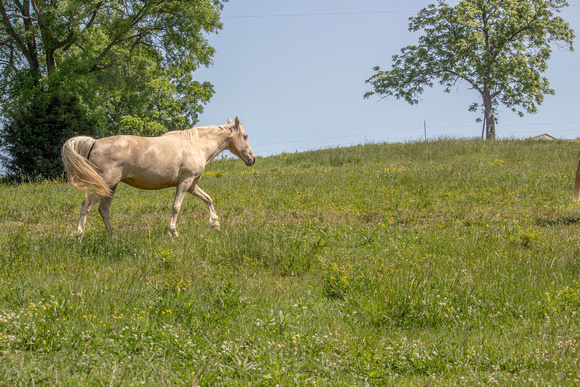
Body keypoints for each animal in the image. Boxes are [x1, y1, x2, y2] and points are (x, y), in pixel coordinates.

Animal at [60, 116, 256, 236]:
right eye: (246, 136)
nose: (252, 159)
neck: (197, 145)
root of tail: (95, 142)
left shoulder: (192, 185)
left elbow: (208, 199)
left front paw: (215, 224)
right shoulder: (184, 182)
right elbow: (176, 206)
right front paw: (173, 232)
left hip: (110, 187)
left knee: (103, 210)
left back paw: (113, 236)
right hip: (105, 183)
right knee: (86, 205)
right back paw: (79, 235)